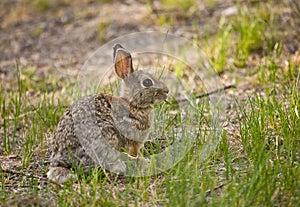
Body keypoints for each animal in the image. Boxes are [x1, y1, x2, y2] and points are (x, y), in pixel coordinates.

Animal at [47, 43, 169, 183]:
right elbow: (135, 153)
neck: (133, 104)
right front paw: (145, 161)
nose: (167, 91)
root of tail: (61, 161)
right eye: (147, 82)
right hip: (107, 136)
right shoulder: (132, 140)